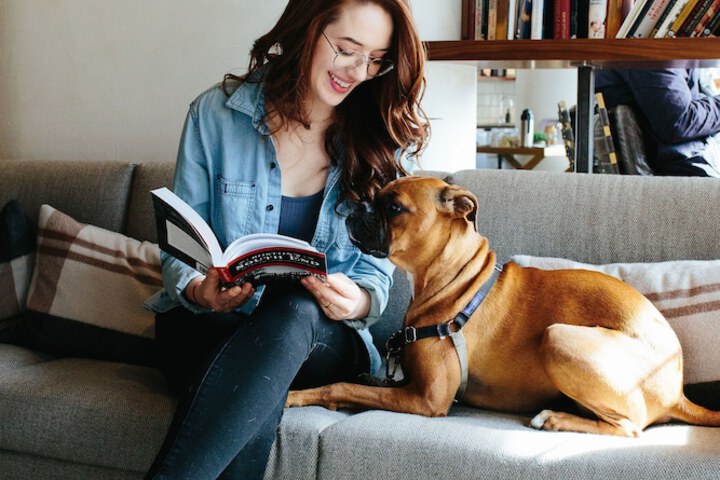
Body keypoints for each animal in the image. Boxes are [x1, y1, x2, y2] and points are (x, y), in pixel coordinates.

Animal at [286, 175, 720, 436]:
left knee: (631, 426)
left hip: (558, 337)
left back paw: (555, 417)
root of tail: (677, 389)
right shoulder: (407, 386)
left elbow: (340, 385)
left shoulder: (427, 400)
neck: (453, 278)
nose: (354, 207)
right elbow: (362, 382)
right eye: (375, 198)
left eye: (393, 207)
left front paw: (296, 395)